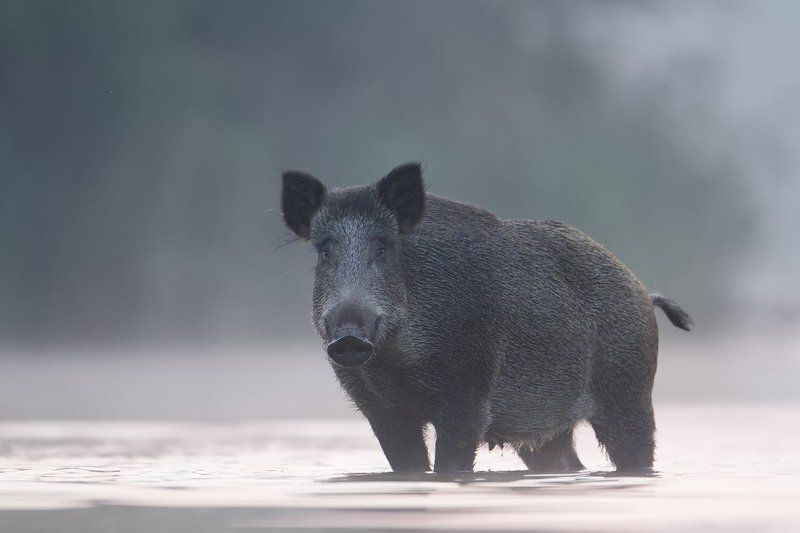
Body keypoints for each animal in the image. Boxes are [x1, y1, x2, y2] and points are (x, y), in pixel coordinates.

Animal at [281, 162, 692, 473]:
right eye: (324, 252)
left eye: (382, 247)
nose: (349, 336)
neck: (398, 363)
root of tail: (643, 291)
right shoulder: (380, 409)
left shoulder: (468, 393)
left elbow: (451, 463)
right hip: (546, 430)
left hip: (628, 392)